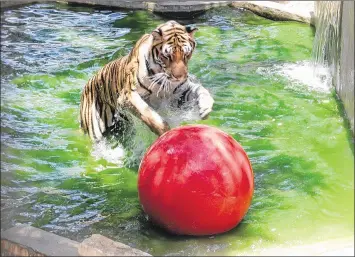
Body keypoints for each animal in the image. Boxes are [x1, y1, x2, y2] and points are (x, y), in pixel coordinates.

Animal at [80, 19, 214, 142]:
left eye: (187, 54)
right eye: (167, 56)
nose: (179, 77)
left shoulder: (179, 93)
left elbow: (200, 89)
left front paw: (205, 108)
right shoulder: (128, 95)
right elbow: (148, 113)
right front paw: (165, 132)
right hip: (96, 130)